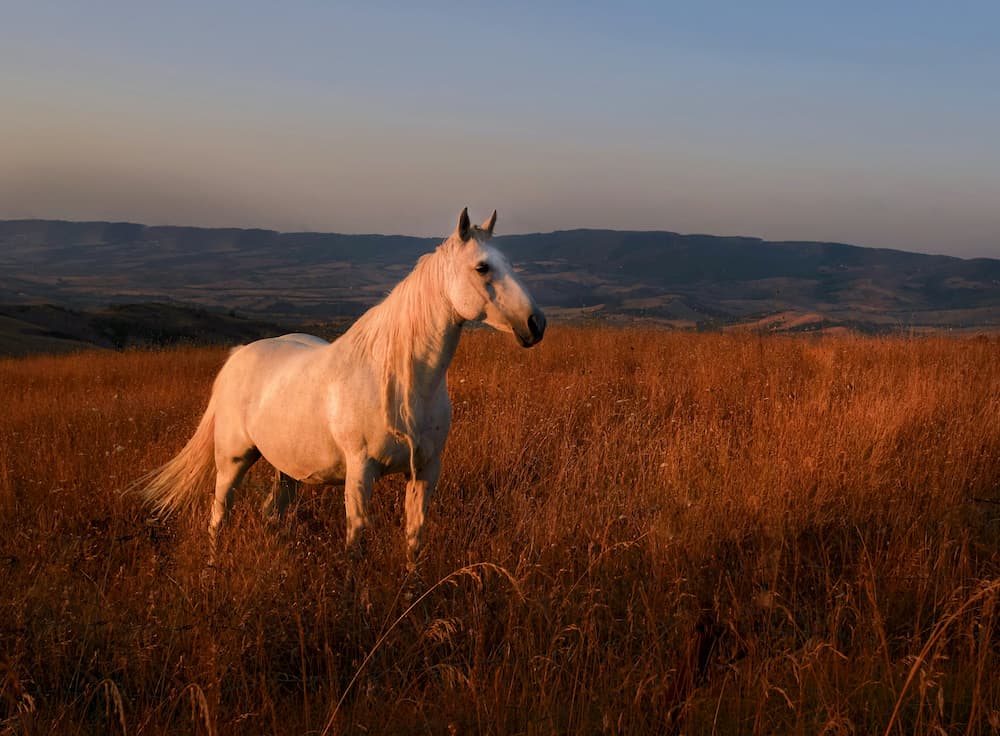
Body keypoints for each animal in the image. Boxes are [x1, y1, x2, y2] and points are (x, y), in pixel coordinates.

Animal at [132, 208, 545, 569]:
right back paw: (212, 569)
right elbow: (356, 541)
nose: (536, 323)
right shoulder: (360, 472)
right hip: (233, 459)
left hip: (287, 468)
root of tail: (238, 355)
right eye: (482, 267)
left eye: (509, 263)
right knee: (219, 516)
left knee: (272, 513)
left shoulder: (425, 471)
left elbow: (415, 538)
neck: (401, 383)